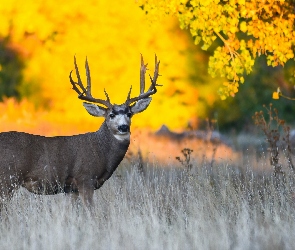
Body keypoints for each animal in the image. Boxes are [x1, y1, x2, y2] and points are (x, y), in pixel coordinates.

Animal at [0, 54, 161, 207]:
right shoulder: (85, 178)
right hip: (8, 178)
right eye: (111, 115)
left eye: (129, 114)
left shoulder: (71, 189)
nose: (123, 127)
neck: (101, 151)